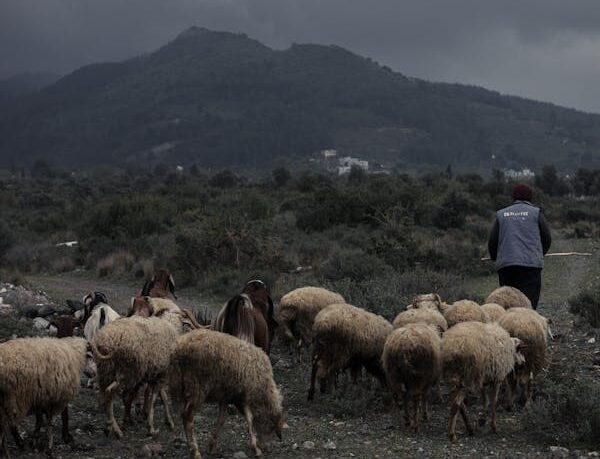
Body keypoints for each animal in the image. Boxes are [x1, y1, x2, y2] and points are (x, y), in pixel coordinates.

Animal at [91, 310, 196, 440]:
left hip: (105, 371)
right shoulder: (161, 374)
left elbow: (164, 397)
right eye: (188, 324)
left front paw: (169, 421)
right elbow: (153, 399)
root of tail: (107, 341)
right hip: (127, 373)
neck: (171, 326)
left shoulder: (157, 373)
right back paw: (116, 430)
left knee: (103, 397)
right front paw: (151, 428)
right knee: (109, 393)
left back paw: (109, 427)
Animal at [166, 330, 284, 459]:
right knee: (188, 418)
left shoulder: (227, 397)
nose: (266, 447)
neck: (263, 390)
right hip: (197, 388)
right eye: (271, 426)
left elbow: (222, 419)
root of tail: (178, 348)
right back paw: (195, 451)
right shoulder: (242, 396)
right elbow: (249, 420)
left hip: (178, 387)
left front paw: (212, 446)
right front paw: (256, 448)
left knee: (183, 414)